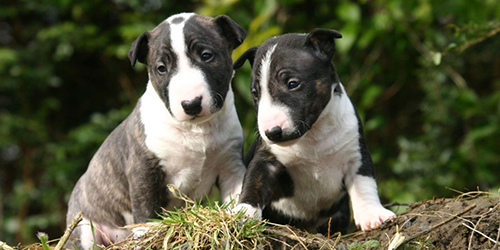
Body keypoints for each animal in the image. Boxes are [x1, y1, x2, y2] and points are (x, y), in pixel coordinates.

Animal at [65, 12, 248, 248]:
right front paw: (147, 233)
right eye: (161, 68)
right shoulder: (143, 168)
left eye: (206, 56)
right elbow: (146, 206)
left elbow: (237, 192)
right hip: (84, 228)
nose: (191, 104)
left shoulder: (230, 164)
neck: (196, 129)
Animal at [233, 29, 394, 234]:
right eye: (255, 93)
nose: (272, 132)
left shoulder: (355, 154)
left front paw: (373, 214)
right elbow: (254, 182)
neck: (313, 136)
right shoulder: (267, 159)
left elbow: (364, 183)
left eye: (293, 84)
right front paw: (243, 212)